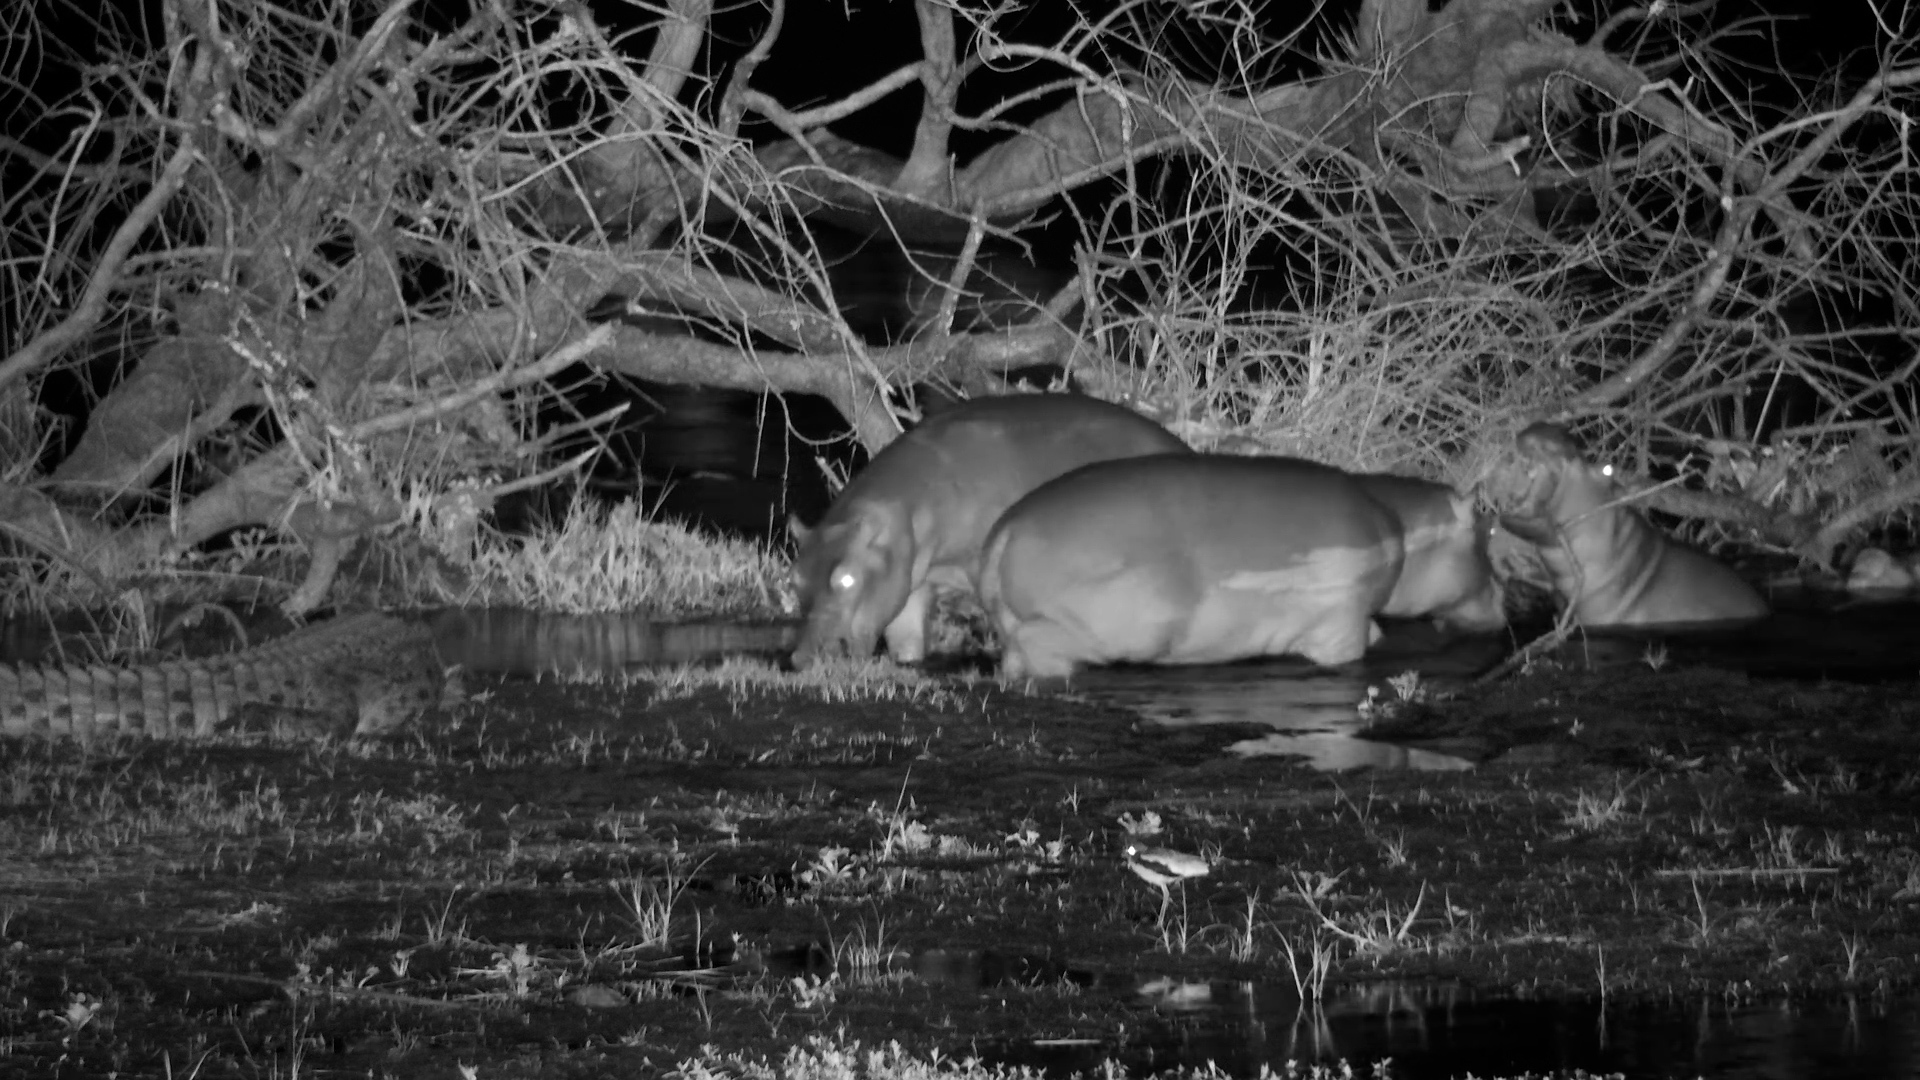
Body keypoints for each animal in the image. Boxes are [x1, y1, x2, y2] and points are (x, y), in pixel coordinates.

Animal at [789, 394, 1190, 667]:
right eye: (796, 580)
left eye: (846, 578)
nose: (801, 657)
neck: (909, 506)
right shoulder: (909, 581)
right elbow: (905, 635)